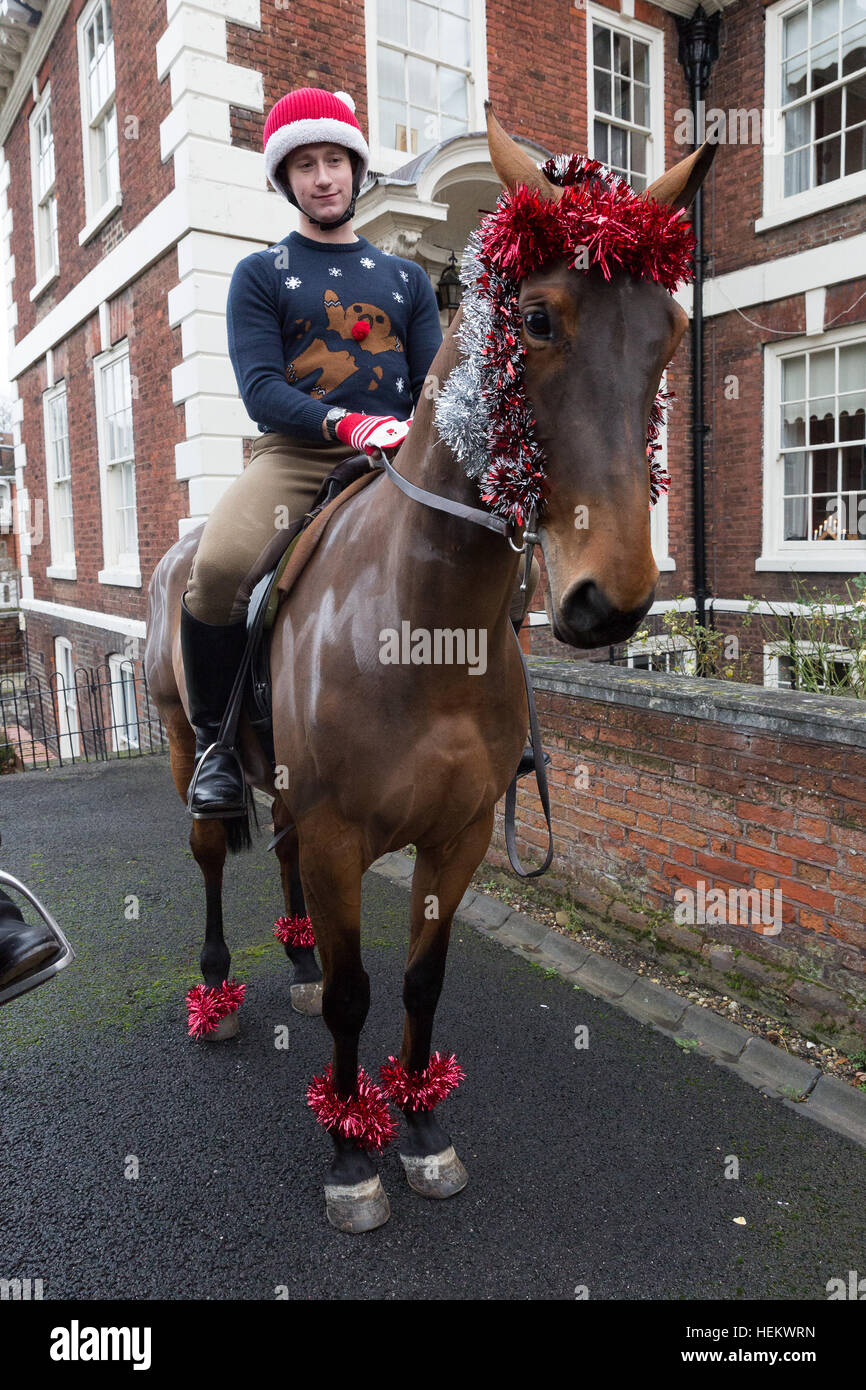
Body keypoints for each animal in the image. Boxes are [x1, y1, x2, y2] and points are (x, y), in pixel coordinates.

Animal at [145, 111, 717, 1239]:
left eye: (668, 330)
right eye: (534, 318)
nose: (612, 599)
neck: (424, 624)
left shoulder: (457, 837)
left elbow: (417, 985)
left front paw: (417, 1127)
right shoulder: (339, 838)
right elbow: (359, 997)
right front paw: (349, 1151)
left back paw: (295, 958)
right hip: (193, 752)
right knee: (210, 856)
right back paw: (218, 991)